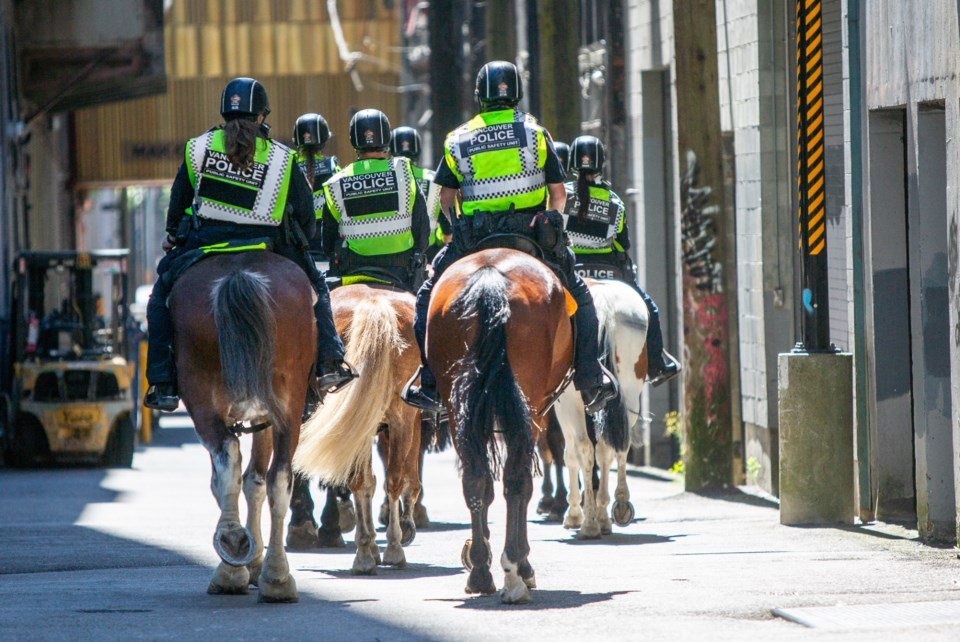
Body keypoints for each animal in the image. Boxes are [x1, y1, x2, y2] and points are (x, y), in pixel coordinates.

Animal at [171, 251, 313, 603]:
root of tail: (238, 273)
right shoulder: (264, 414)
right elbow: (255, 480)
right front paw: (253, 562)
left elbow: (241, 480)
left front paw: (246, 563)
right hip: (286, 406)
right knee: (278, 478)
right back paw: (273, 574)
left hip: (204, 397)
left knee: (230, 459)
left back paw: (236, 554)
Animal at [293, 284, 422, 574]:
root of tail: (373, 303)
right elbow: (400, 480)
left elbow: (368, 483)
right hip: (396, 420)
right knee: (390, 480)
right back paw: (389, 548)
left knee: (364, 481)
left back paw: (365, 552)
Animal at [427, 248, 574, 604]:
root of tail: (489, 279)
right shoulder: (535, 412)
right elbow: (522, 483)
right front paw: (523, 565)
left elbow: (486, 488)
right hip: (529, 406)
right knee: (517, 480)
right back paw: (515, 572)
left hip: (458, 408)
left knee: (475, 478)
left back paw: (480, 571)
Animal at [554, 278, 648, 539]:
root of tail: (604, 303)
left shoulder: (562, 409)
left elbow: (570, 455)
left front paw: (574, 513)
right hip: (630, 390)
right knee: (616, 447)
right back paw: (615, 509)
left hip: (571, 403)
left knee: (585, 449)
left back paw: (589, 523)